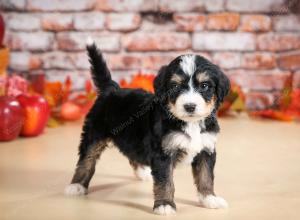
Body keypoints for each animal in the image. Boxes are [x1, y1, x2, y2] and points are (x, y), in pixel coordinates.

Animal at [65, 39, 230, 215]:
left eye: (204, 86)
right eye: (175, 86)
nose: (190, 106)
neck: (190, 123)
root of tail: (111, 88)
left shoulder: (206, 148)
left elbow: (206, 176)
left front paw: (209, 198)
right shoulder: (163, 153)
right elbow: (165, 181)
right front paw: (164, 205)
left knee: (132, 152)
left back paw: (143, 173)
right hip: (94, 133)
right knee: (87, 158)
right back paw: (76, 185)